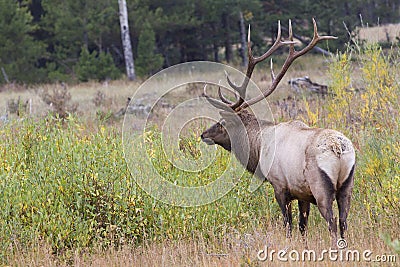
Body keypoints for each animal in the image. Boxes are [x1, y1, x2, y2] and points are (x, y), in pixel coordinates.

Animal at [200, 19, 356, 249]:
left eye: (222, 123)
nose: (203, 134)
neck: (258, 148)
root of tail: (338, 150)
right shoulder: (302, 192)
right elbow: (302, 226)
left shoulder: (280, 185)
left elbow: (288, 225)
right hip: (347, 184)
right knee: (344, 220)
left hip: (321, 186)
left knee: (332, 221)